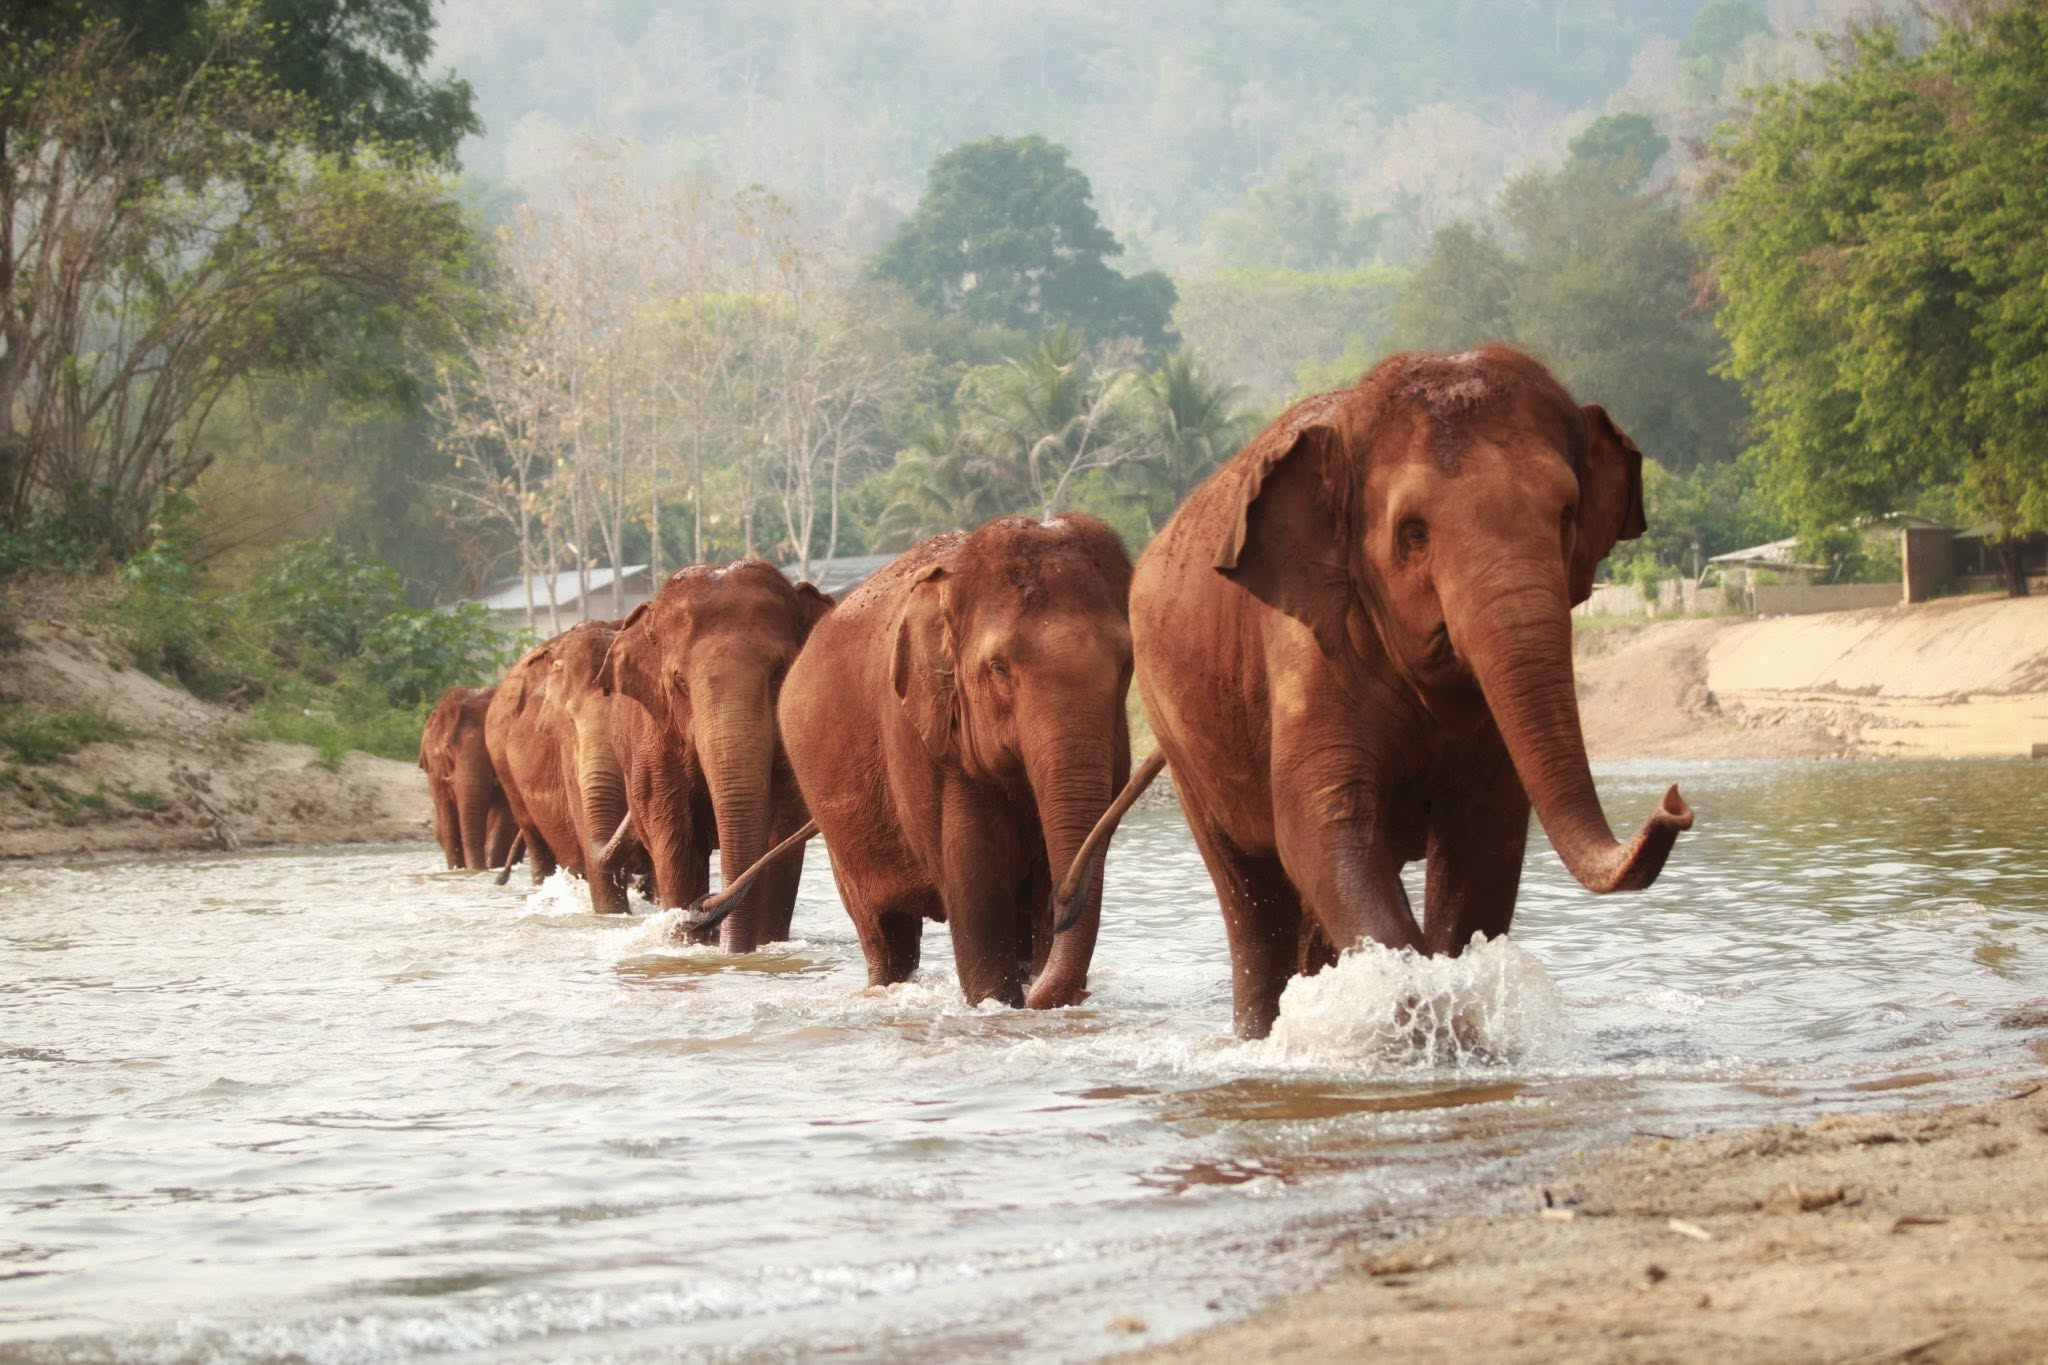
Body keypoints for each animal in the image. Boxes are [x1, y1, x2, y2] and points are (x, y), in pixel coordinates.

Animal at [419, 684, 516, 871]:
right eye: (448, 749)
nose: (478, 869)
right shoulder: (435, 772)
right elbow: (448, 817)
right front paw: (458, 869)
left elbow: (504, 813)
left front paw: (491, 867)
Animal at [595, 561, 833, 952]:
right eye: (679, 682)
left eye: (779, 672)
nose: (702, 907)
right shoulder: (653, 747)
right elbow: (676, 843)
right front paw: (690, 943)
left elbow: (779, 836)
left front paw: (760, 946)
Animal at [776, 514, 1134, 1009]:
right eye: (999, 668)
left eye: (1127, 666)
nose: (1080, 992)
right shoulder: (918, 737)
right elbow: (975, 882)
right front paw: (997, 1003)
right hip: (837, 830)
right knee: (885, 932)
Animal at [1076, 345, 1692, 1039]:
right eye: (1414, 533)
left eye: (1566, 517)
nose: (1674, 800)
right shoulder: (1307, 643)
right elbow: (1323, 830)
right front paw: (1422, 1003)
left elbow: (1484, 841)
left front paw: (1452, 1003)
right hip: (1182, 738)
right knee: (1252, 894)